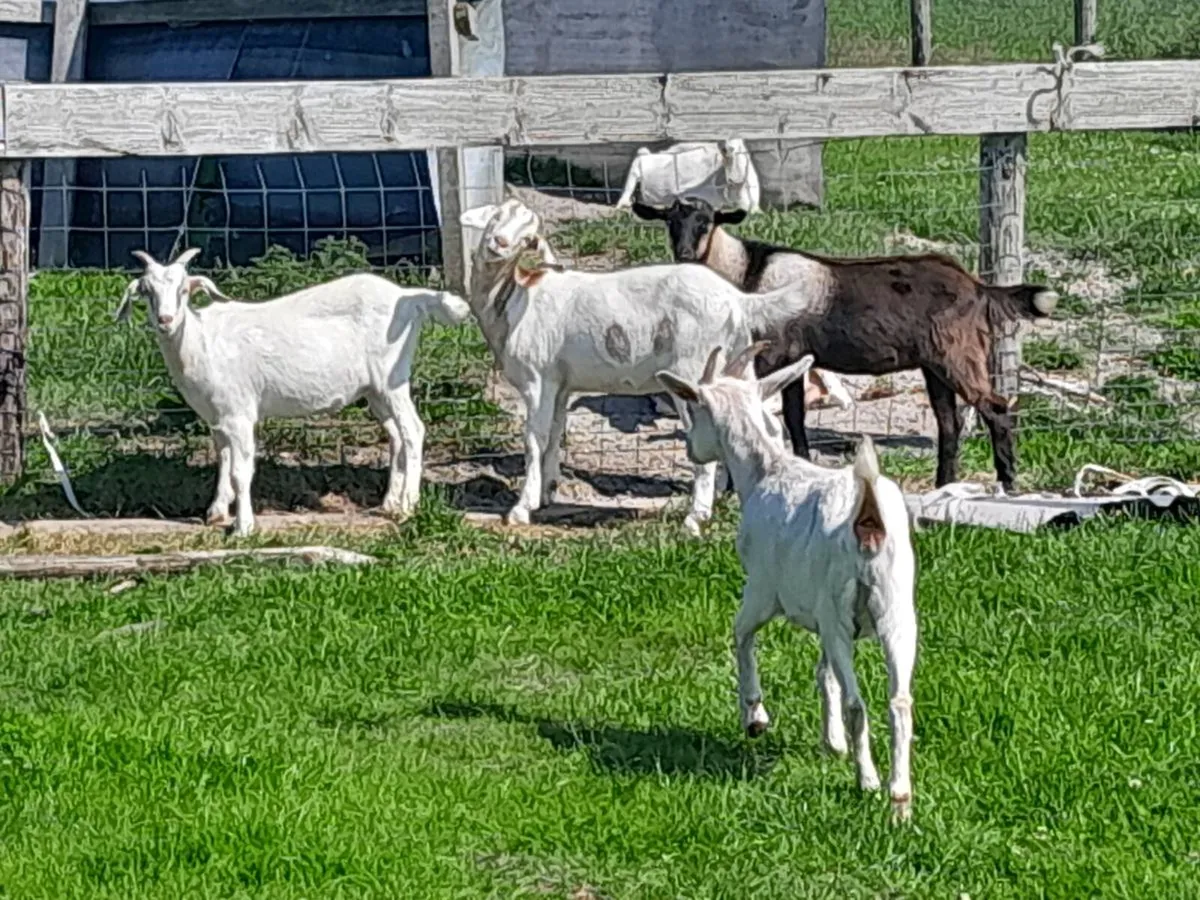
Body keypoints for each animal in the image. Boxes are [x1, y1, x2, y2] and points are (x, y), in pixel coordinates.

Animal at [116, 248, 471, 536]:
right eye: (147, 291)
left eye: (183, 289)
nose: (166, 319)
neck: (202, 342)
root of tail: (408, 297)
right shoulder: (218, 418)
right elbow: (223, 461)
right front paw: (216, 513)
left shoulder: (240, 413)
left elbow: (241, 471)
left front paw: (243, 527)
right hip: (375, 390)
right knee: (396, 434)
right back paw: (389, 504)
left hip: (392, 377)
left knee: (413, 430)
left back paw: (409, 505)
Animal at [458, 198, 821, 535]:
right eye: (496, 216)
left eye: (528, 236)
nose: (499, 243)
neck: (515, 299)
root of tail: (739, 300)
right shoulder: (560, 384)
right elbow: (555, 435)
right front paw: (547, 493)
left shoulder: (538, 378)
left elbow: (534, 439)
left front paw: (521, 508)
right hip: (736, 360)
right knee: (762, 420)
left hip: (692, 368)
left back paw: (696, 517)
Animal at [633, 196, 1059, 492]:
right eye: (670, 221)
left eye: (706, 221)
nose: (685, 255)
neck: (747, 273)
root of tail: (978, 287)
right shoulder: (794, 361)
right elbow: (795, 420)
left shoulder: (774, 356)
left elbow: (781, 418)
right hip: (934, 364)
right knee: (950, 424)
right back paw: (944, 485)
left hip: (957, 355)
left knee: (996, 408)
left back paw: (1007, 481)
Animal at [656, 342, 918, 821]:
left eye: (694, 410)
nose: (690, 450)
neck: (768, 470)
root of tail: (868, 520)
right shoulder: (821, 615)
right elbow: (823, 673)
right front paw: (831, 743)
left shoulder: (763, 590)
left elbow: (741, 634)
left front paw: (755, 717)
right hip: (895, 613)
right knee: (899, 702)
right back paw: (899, 794)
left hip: (839, 616)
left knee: (858, 703)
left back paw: (869, 782)